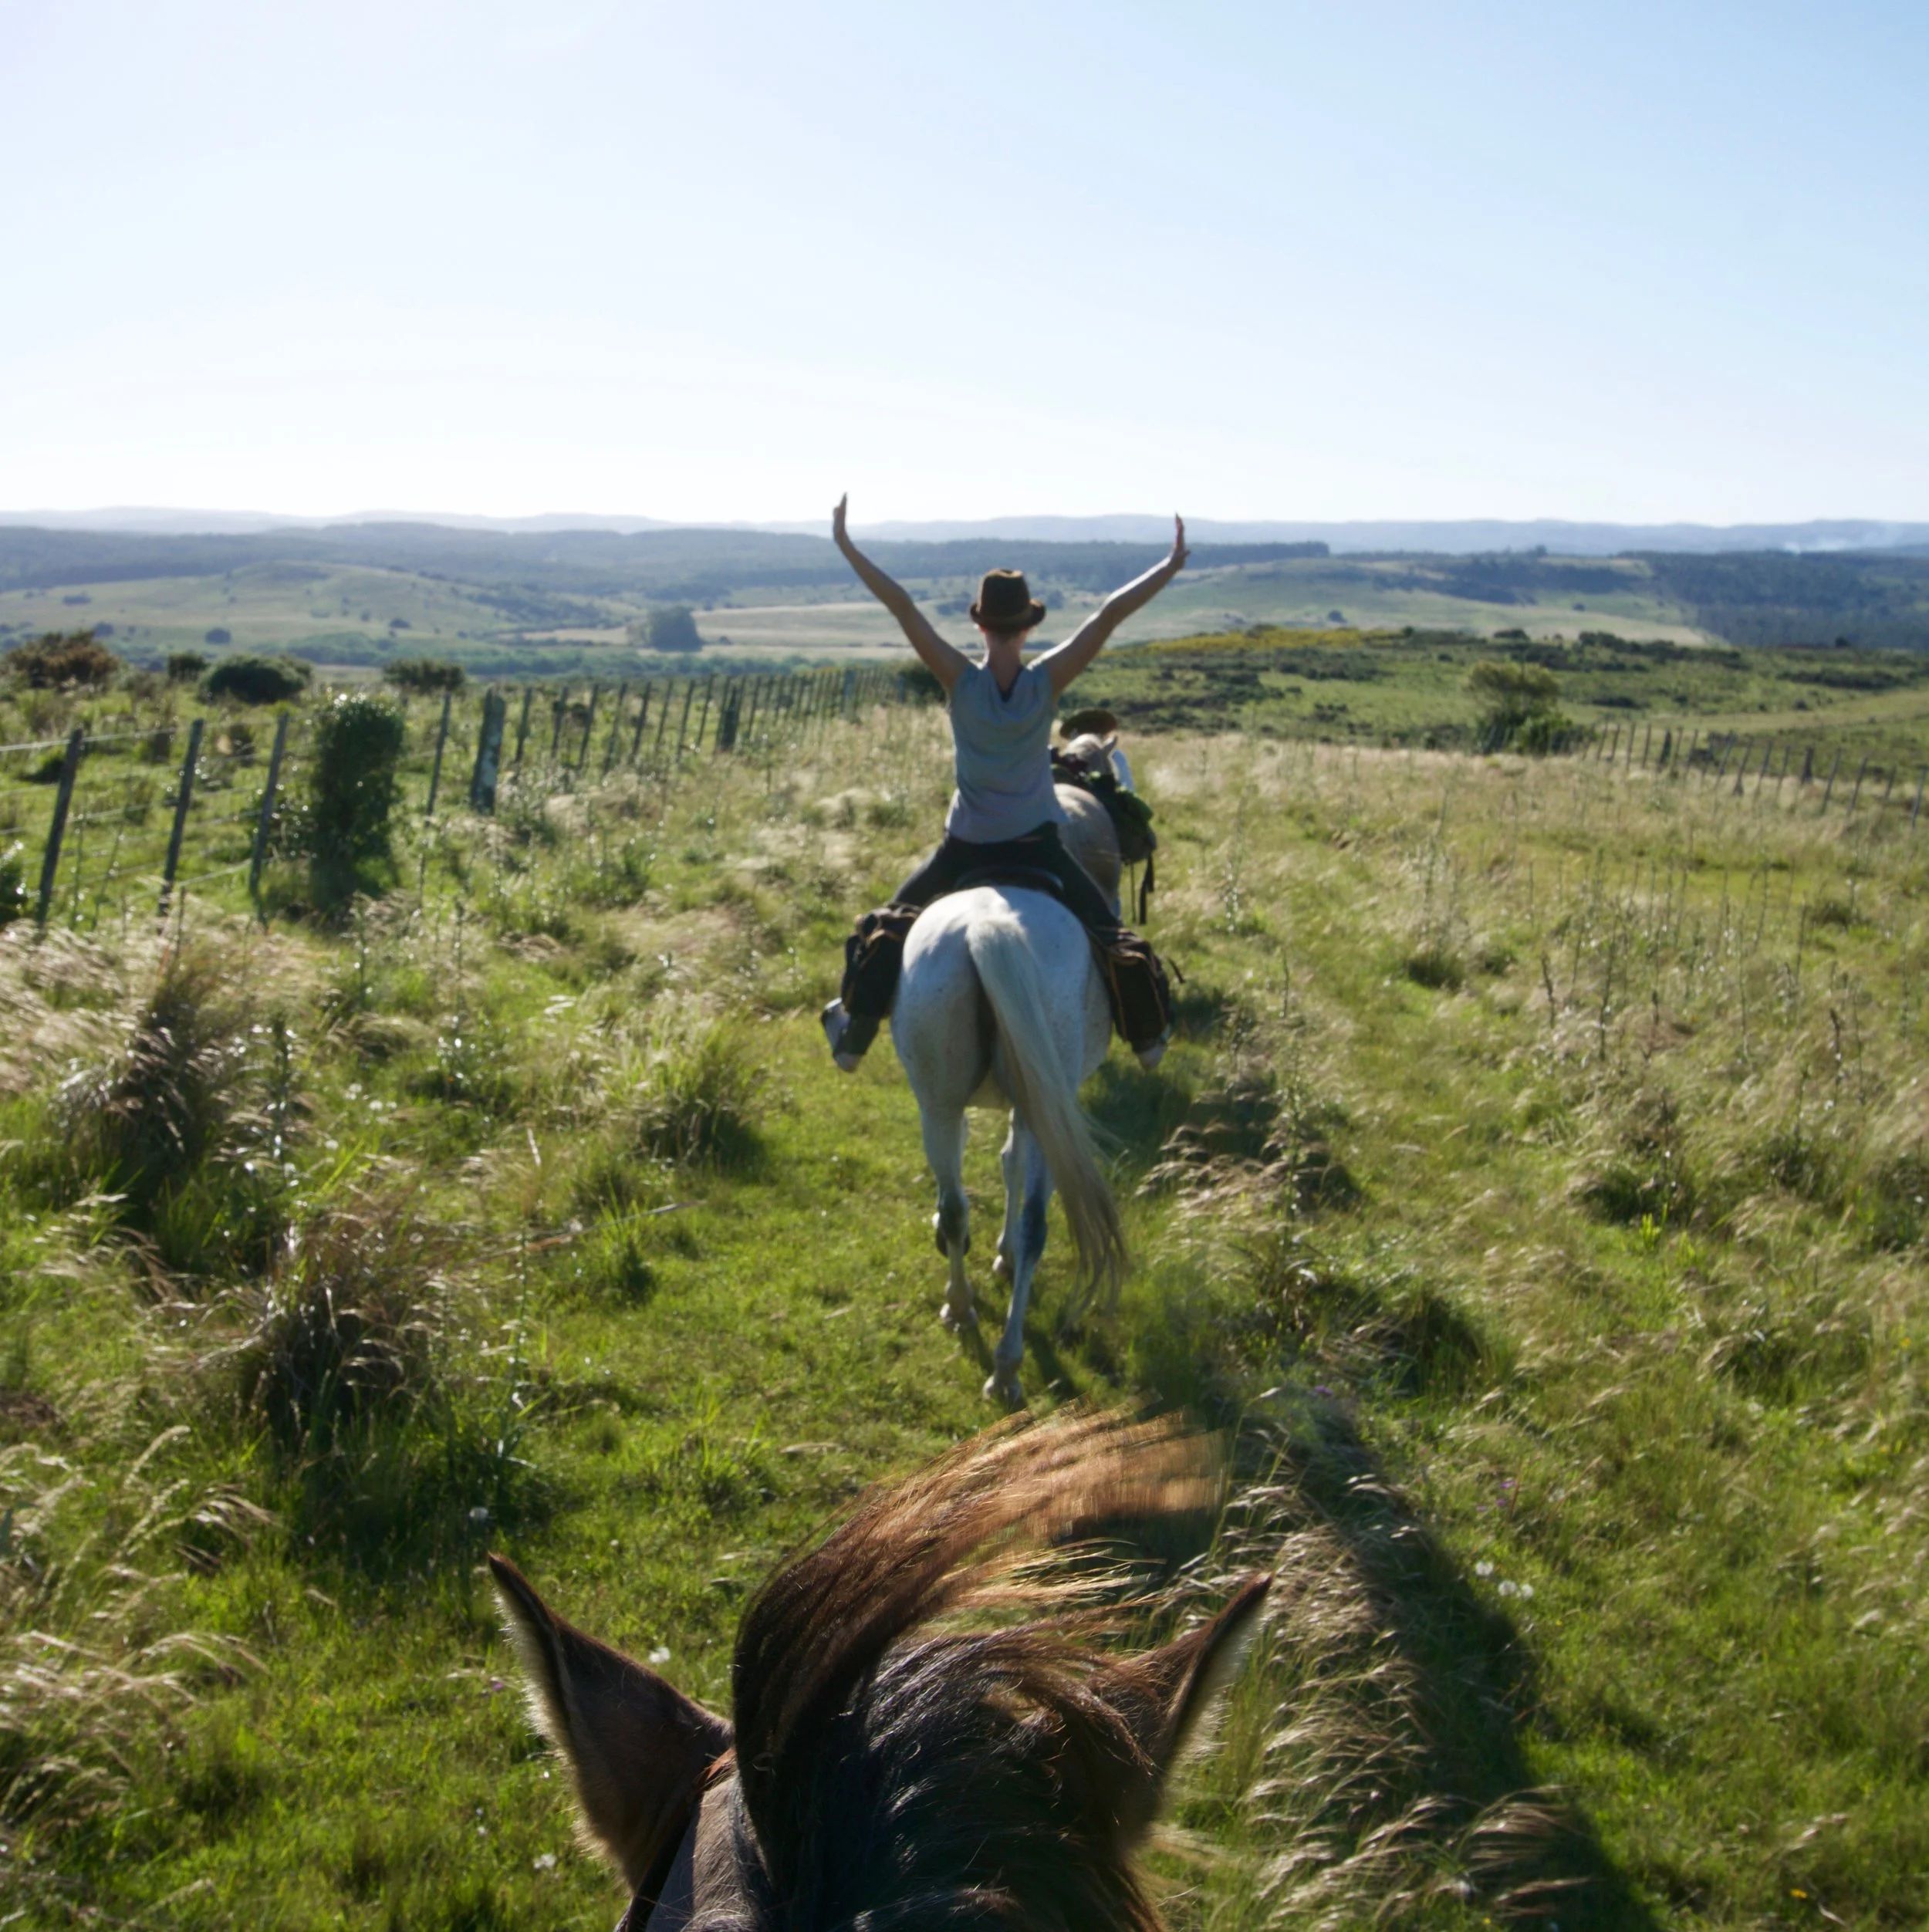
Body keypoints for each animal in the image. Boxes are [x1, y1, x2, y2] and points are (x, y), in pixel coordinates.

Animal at [892, 781, 1124, 1406]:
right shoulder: (1038, 1106)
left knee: (958, 1206)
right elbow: (1010, 1167)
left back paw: (963, 1311)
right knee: (1034, 1222)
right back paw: (1006, 1365)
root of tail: (987, 930)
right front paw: (1001, 1257)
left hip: (938, 1102)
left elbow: (994, 1170)